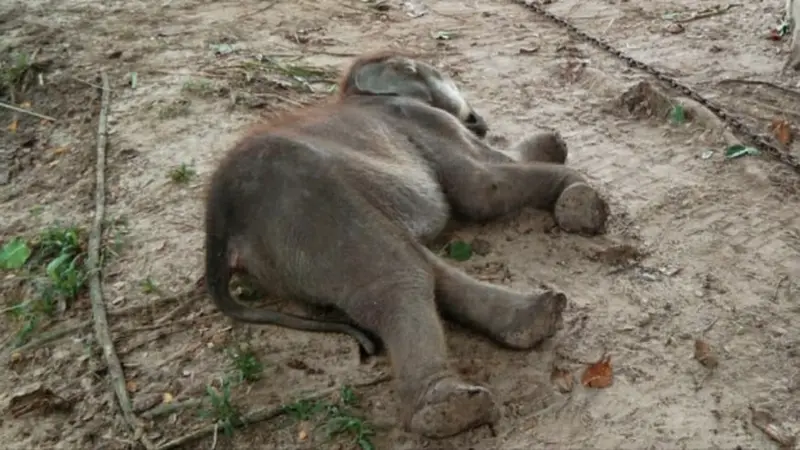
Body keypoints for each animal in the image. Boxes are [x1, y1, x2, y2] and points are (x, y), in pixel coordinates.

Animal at [203, 50, 608, 440]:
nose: (477, 118)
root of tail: (220, 230)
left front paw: (553, 146)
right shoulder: (417, 118)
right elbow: (483, 186)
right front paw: (581, 198)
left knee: (412, 261)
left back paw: (537, 317)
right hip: (311, 205)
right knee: (400, 275)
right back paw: (450, 408)